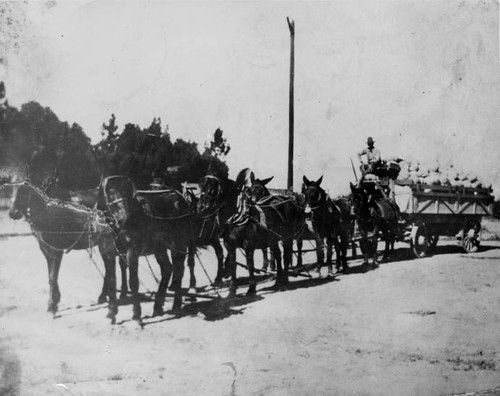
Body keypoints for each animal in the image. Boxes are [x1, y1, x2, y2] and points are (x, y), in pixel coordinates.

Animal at [8, 183, 118, 322]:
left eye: (22, 192)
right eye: (11, 190)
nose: (13, 213)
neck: (47, 213)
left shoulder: (56, 251)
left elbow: (53, 277)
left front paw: (53, 307)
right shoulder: (46, 249)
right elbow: (51, 277)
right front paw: (53, 303)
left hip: (107, 245)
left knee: (112, 273)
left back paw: (111, 309)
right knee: (109, 272)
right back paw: (104, 298)